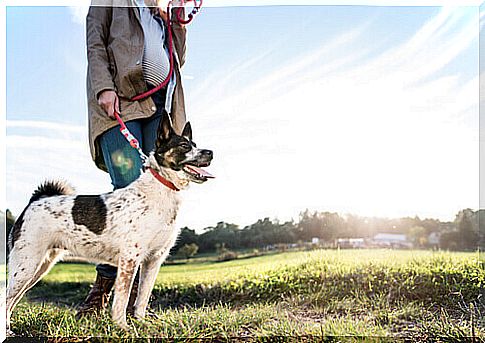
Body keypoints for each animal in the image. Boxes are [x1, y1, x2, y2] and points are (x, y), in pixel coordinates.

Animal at [5, 115, 214, 334]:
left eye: (195, 144)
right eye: (184, 146)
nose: (211, 153)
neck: (163, 188)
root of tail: (34, 201)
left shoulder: (154, 260)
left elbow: (142, 298)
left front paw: (141, 323)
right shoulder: (130, 260)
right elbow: (121, 299)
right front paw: (123, 327)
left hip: (38, 267)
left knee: (12, 300)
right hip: (26, 265)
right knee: (6, 299)